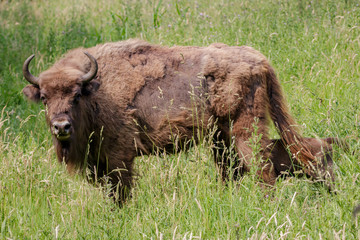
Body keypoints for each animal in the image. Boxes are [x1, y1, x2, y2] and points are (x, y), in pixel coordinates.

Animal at [22, 39, 336, 202]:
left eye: (76, 95)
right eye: (45, 98)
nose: (61, 127)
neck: (97, 90)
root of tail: (259, 60)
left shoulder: (119, 158)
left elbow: (121, 191)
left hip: (243, 131)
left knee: (262, 167)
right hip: (222, 137)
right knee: (244, 166)